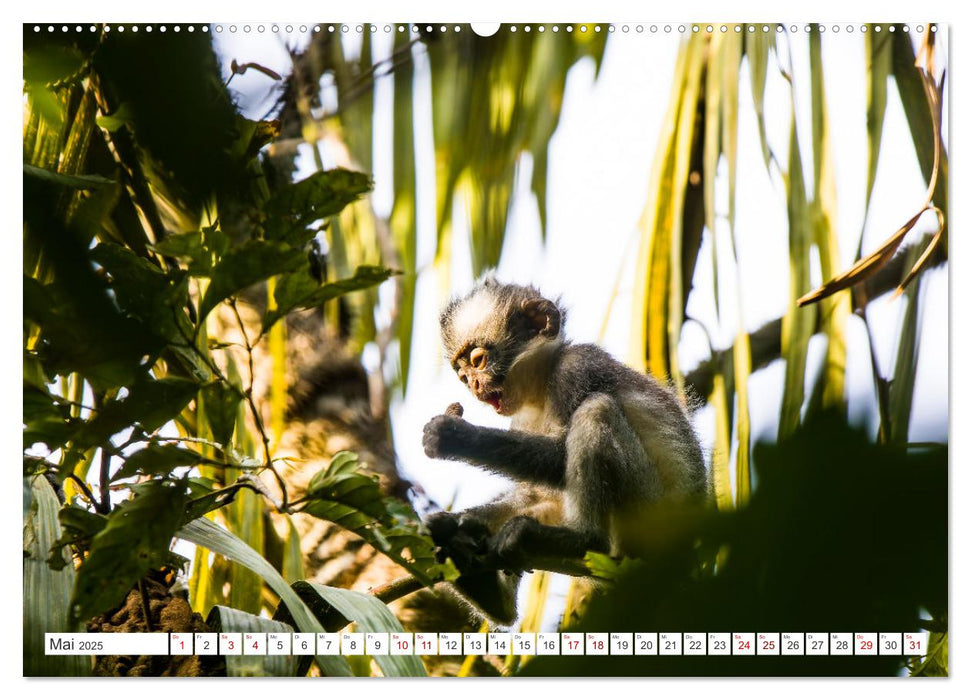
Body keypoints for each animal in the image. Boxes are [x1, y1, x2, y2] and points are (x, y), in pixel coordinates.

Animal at [420, 278, 708, 624]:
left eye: (478, 360)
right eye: (462, 375)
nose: (474, 386)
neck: (540, 390)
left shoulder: (577, 367)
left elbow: (559, 458)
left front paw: (454, 436)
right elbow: (531, 492)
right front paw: (456, 525)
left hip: (649, 514)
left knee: (596, 410)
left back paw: (584, 539)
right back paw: (492, 595)